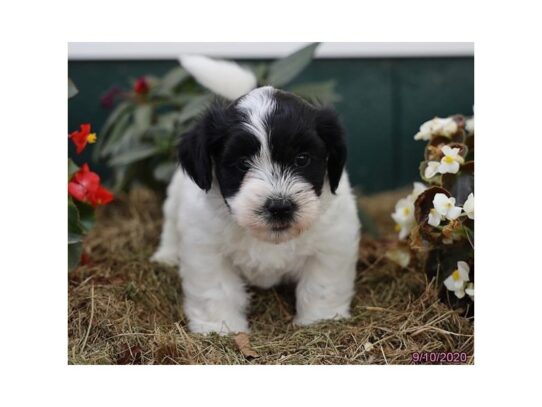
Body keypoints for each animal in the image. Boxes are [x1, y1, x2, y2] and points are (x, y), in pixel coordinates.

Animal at [152, 87, 362, 334]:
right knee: (170, 224)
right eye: (243, 163)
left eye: (302, 159)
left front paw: (320, 320)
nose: (280, 206)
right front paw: (221, 327)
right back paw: (167, 255)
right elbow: (216, 289)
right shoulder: (206, 248)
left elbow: (321, 285)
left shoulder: (332, 243)